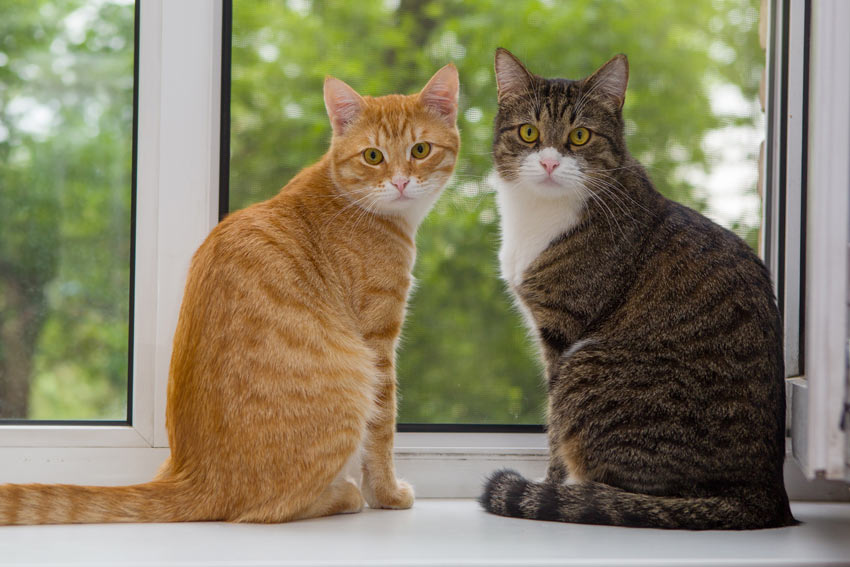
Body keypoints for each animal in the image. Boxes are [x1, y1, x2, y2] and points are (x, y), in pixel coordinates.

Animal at [0, 64, 460, 524]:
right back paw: (344, 494)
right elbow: (382, 429)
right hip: (352, 385)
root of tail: (192, 476)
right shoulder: (379, 341)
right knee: (271, 508)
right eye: (373, 156)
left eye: (420, 150)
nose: (401, 182)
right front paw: (387, 494)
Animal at [480, 50, 792, 532]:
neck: (539, 216)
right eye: (529, 132)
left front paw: (549, 485)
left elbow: (553, 430)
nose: (549, 163)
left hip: (586, 368)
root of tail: (763, 492)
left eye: (580, 136)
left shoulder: (562, 335)